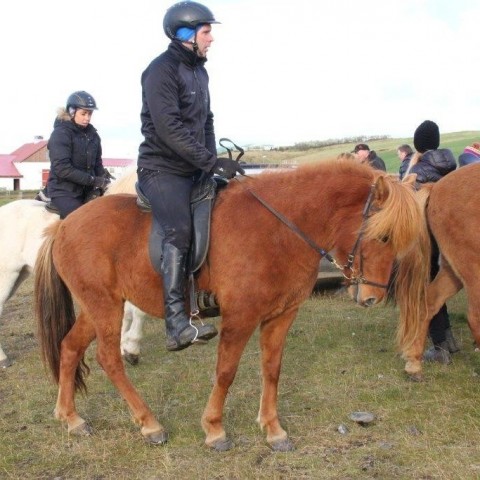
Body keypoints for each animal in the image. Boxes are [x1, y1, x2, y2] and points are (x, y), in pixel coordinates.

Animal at [35, 159, 422, 452]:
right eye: (383, 236)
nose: (373, 297)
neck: (279, 229)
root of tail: (63, 226)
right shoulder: (241, 316)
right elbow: (226, 371)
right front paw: (215, 429)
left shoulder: (281, 315)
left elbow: (272, 369)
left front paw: (273, 430)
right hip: (105, 307)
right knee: (108, 359)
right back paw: (150, 424)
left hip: (96, 307)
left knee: (69, 348)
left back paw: (71, 418)